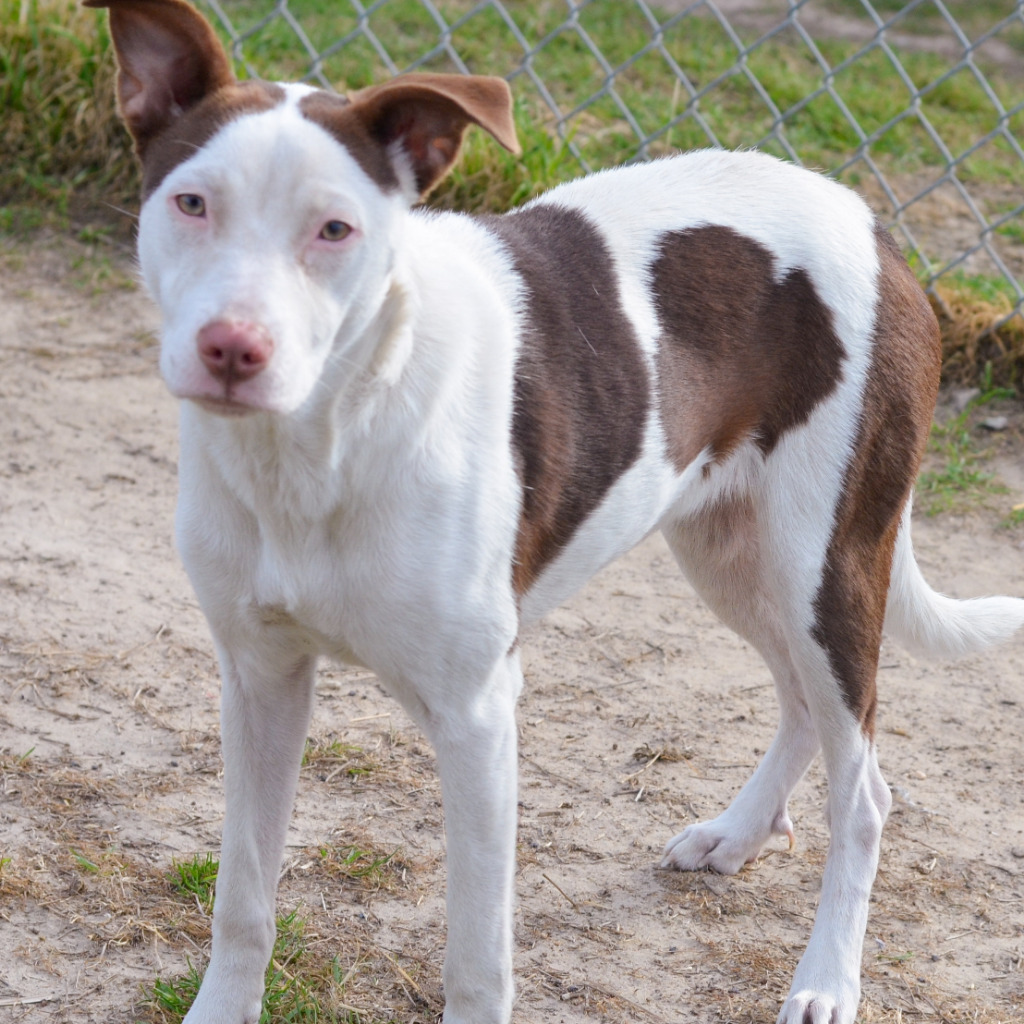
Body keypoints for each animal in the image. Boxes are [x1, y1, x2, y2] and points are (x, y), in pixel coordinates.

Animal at [90, 2, 1024, 1024]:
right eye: (193, 204)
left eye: (335, 229)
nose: (232, 349)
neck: (326, 437)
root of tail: (870, 222)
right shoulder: (259, 680)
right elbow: (244, 898)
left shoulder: (477, 715)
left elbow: (475, 958)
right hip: (732, 551)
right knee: (801, 704)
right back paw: (739, 834)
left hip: (828, 564)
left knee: (863, 795)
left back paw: (824, 981)